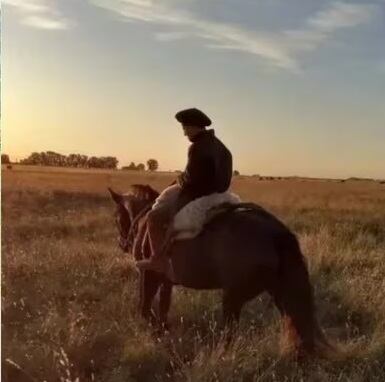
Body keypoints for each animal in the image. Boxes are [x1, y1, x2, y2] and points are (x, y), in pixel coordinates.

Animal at [109, 185, 330, 356]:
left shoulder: (149, 275)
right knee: (295, 320)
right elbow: (163, 307)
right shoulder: (166, 280)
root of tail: (276, 233)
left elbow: (145, 309)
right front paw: (165, 331)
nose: (122, 244)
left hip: (233, 297)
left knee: (230, 333)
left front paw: (158, 334)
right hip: (278, 292)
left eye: (117, 217)